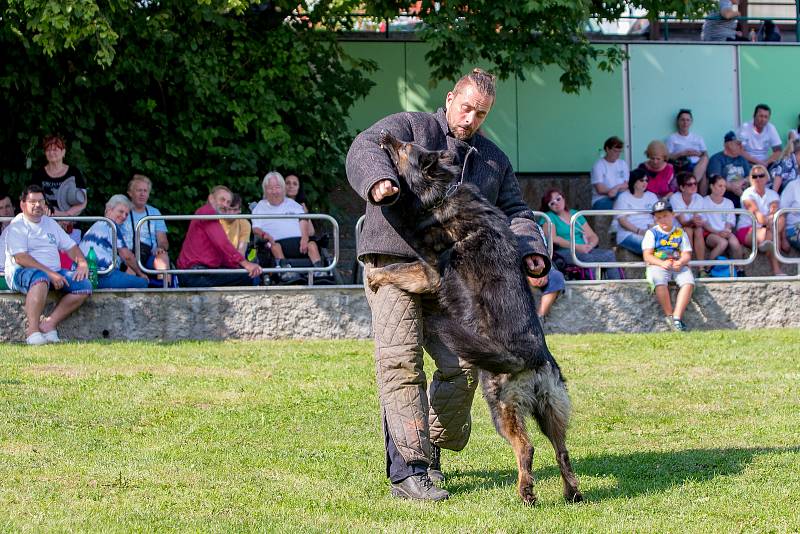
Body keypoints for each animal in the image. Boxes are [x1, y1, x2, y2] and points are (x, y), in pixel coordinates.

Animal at [368, 131, 580, 506]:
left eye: (405, 147)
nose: (383, 134)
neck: (444, 190)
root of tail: (533, 358)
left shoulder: (427, 272)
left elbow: (397, 269)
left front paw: (377, 276)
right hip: (551, 413)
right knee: (562, 451)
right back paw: (571, 493)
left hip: (501, 408)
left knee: (526, 449)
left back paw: (525, 493)